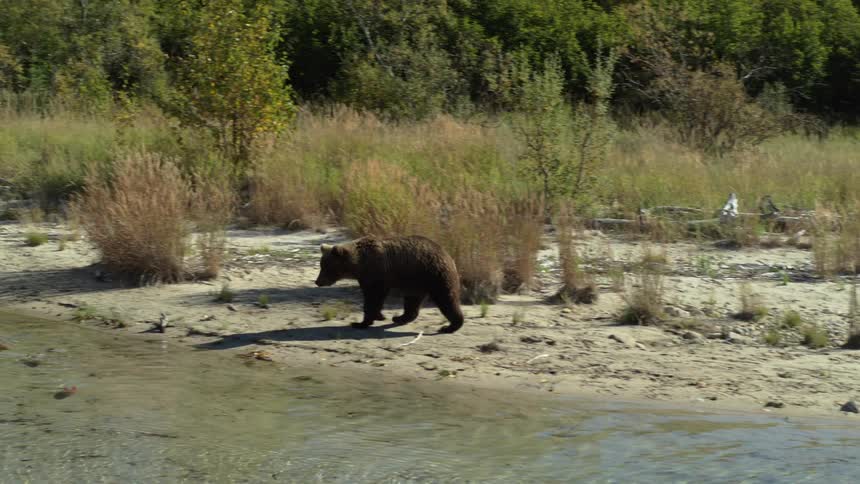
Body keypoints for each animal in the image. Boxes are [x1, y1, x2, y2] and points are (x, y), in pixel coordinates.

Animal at [314, 235, 464, 334]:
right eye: (322, 265)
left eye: (326, 267)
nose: (318, 281)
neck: (358, 264)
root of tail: (448, 254)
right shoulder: (371, 278)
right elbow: (376, 297)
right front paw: (379, 315)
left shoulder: (376, 273)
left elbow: (372, 297)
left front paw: (360, 323)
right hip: (415, 280)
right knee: (412, 300)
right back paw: (399, 317)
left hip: (434, 274)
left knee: (446, 299)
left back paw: (450, 326)